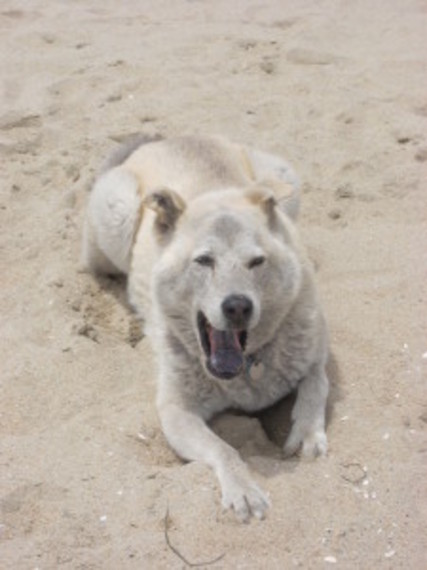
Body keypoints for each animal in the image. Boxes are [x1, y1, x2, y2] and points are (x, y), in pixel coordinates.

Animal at [83, 134, 332, 520]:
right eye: (203, 261)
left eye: (257, 261)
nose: (238, 305)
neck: (247, 369)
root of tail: (168, 138)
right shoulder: (176, 412)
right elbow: (224, 449)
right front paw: (243, 490)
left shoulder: (316, 352)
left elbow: (316, 385)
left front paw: (306, 433)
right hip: (117, 212)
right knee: (99, 266)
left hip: (284, 180)